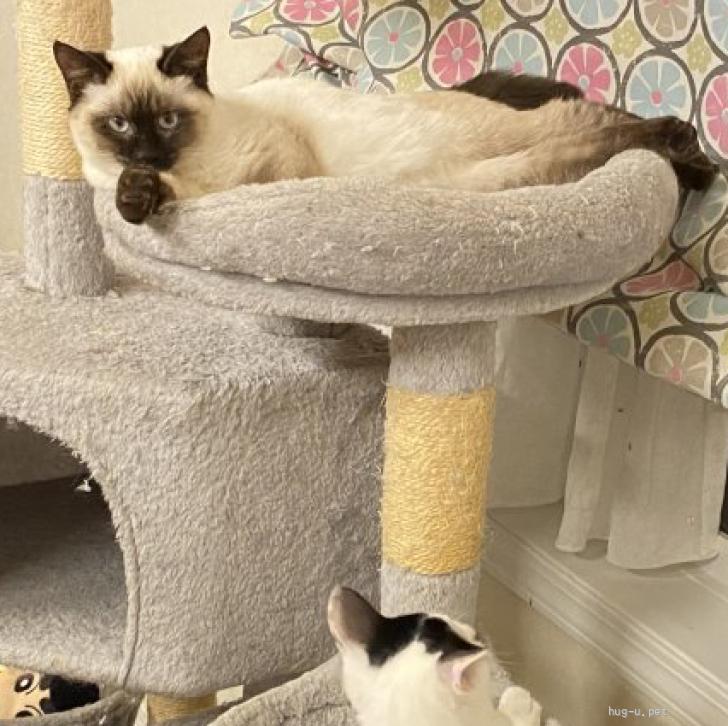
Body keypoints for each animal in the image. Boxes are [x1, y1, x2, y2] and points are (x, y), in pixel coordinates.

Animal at [53, 27, 717, 225]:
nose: (146, 154)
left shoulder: (276, 166)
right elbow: (139, 194)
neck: (193, 171)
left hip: (512, 146)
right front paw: (135, 199)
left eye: (168, 119)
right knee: (588, 141)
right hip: (506, 175)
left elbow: (252, 188)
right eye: (118, 125)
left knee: (601, 117)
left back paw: (697, 158)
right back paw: (689, 164)